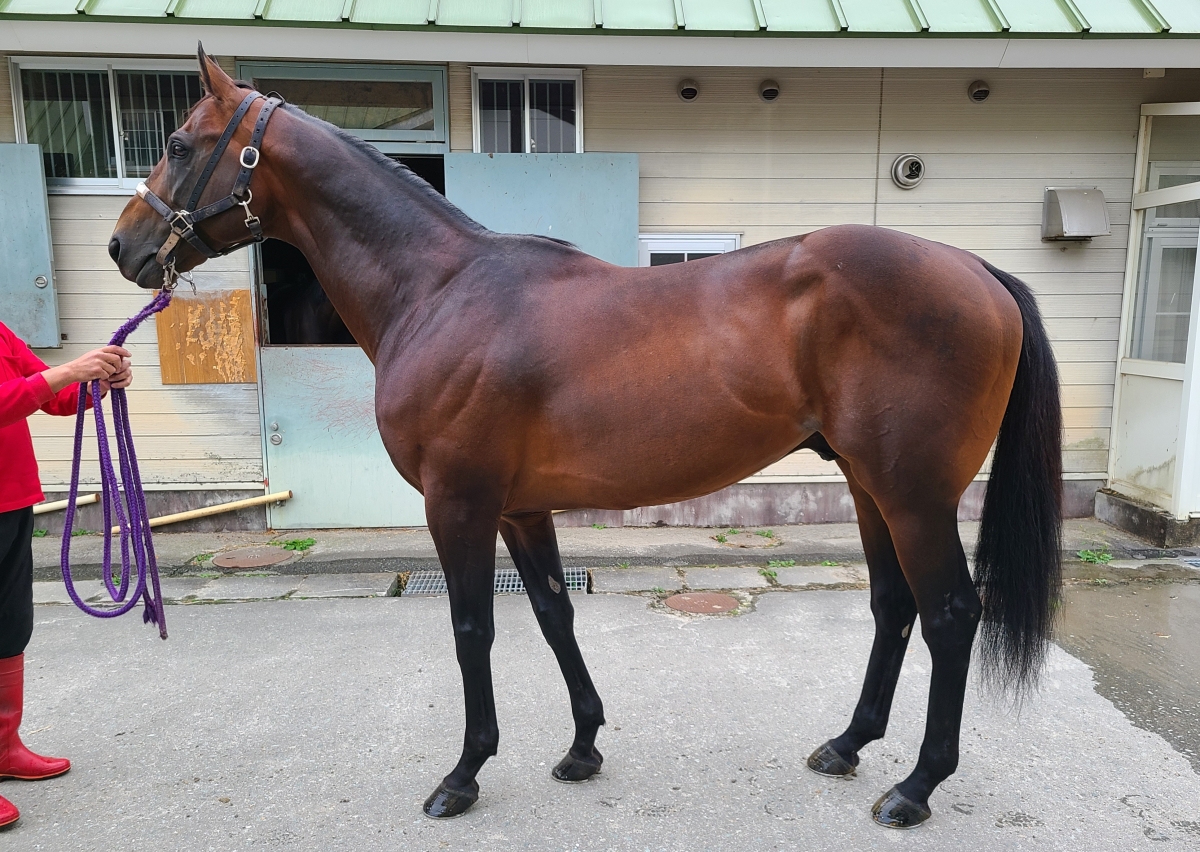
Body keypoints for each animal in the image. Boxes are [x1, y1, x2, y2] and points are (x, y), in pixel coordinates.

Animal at [108, 47, 1062, 829]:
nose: (124, 246)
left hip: (914, 496)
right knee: (893, 607)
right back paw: (847, 745)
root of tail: (978, 270)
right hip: (871, 488)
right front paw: (582, 746)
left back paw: (915, 788)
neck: (440, 290)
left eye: (182, 143)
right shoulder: (521, 510)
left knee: (949, 615)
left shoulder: (459, 504)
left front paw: (463, 775)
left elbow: (471, 628)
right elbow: (553, 615)